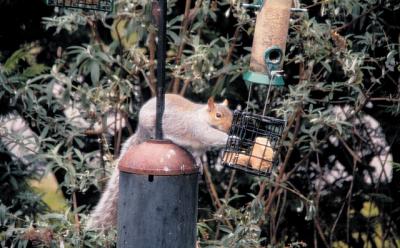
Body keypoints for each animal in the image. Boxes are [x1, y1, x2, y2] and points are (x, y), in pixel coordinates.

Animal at [86, 93, 233, 231]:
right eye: (218, 115)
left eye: (232, 115)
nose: (230, 128)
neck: (202, 116)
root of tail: (140, 130)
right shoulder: (197, 128)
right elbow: (210, 135)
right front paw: (231, 138)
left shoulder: (200, 148)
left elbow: (197, 155)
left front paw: (200, 164)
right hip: (151, 123)